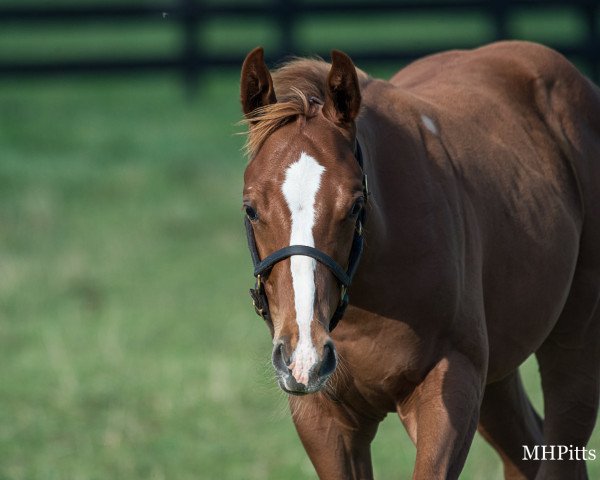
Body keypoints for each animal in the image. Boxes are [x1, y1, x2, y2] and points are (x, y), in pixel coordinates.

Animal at [239, 42, 600, 480]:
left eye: (355, 205)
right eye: (251, 208)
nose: (306, 354)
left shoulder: (448, 387)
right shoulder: (323, 416)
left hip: (575, 341)